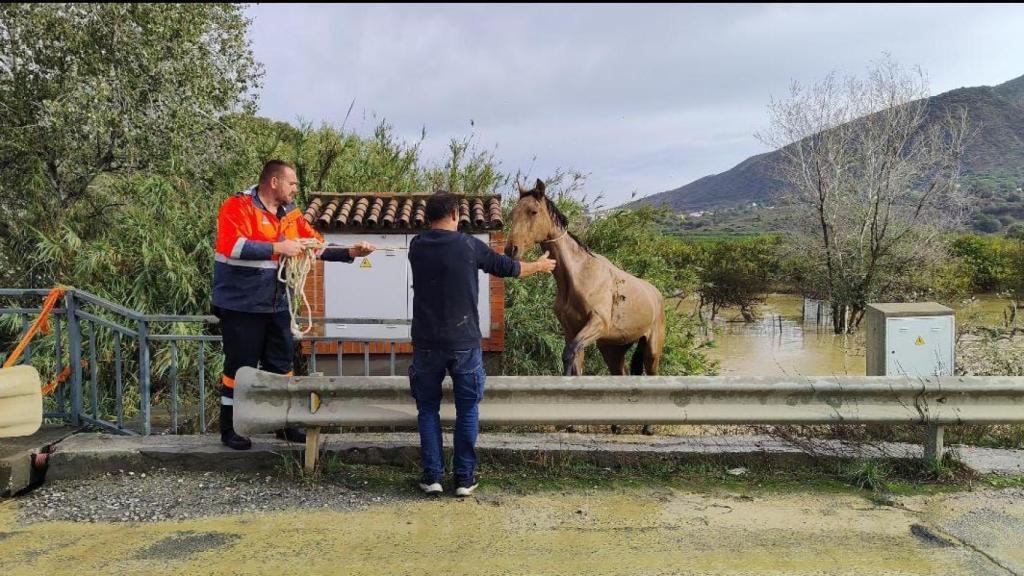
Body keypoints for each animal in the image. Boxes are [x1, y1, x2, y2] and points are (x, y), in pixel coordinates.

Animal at [501, 179, 663, 377]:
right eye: (512, 214)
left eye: (533, 211)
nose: (511, 249)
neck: (581, 275)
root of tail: (656, 295)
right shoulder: (571, 331)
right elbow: (574, 364)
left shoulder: (597, 323)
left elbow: (568, 353)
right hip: (612, 350)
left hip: (652, 352)